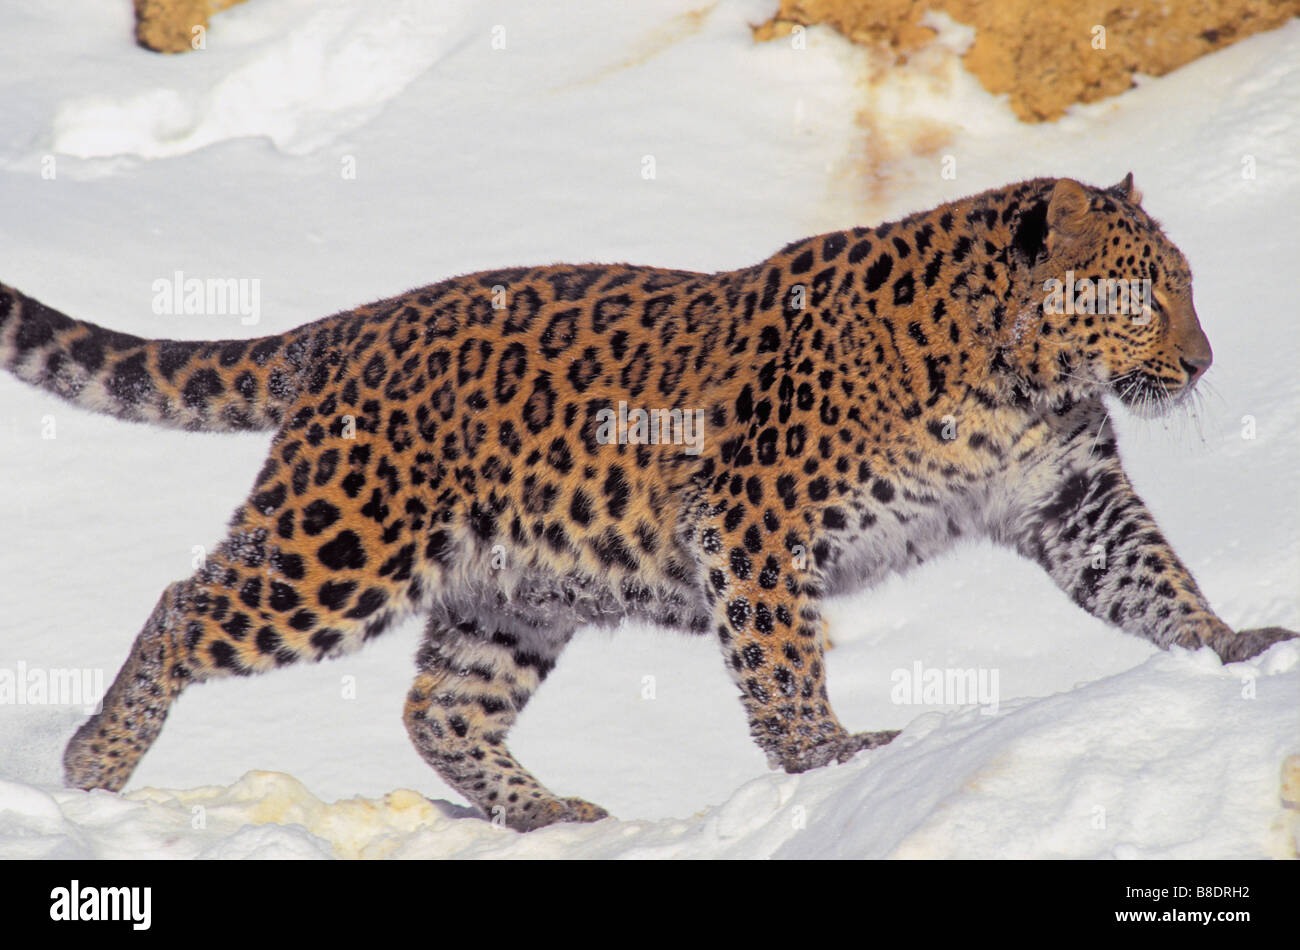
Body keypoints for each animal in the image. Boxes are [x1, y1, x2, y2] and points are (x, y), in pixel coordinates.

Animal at [2, 174, 1294, 831]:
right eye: (1139, 293)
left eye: (1185, 284)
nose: (1202, 360)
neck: (1013, 380)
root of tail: (355, 324)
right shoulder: (757, 518)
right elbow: (779, 662)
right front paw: (831, 758)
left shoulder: (1072, 498)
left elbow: (1151, 575)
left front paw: (1234, 646)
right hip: (345, 544)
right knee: (183, 603)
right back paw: (94, 762)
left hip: (513, 591)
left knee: (441, 705)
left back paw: (547, 812)